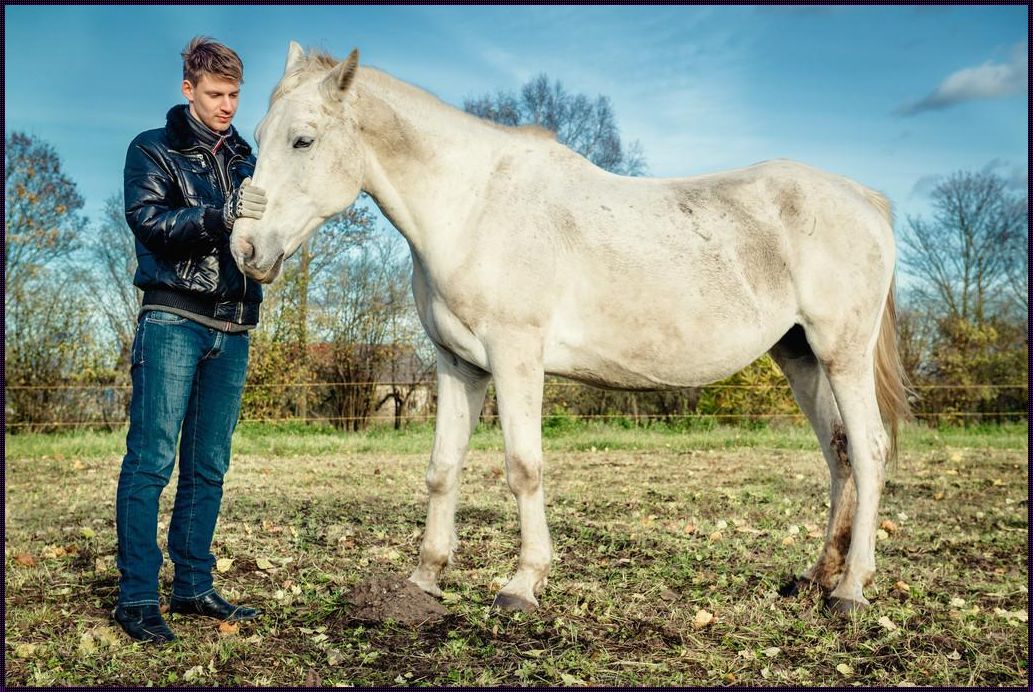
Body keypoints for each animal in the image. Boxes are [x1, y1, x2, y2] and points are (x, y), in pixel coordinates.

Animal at [236, 44, 913, 619]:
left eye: (303, 139)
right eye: (258, 137)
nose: (246, 250)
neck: (473, 206)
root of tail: (865, 199)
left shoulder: (516, 357)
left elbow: (522, 466)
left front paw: (522, 584)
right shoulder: (459, 366)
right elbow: (442, 467)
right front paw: (424, 579)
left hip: (842, 355)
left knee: (870, 452)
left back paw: (850, 592)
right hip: (800, 357)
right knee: (840, 454)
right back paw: (816, 578)